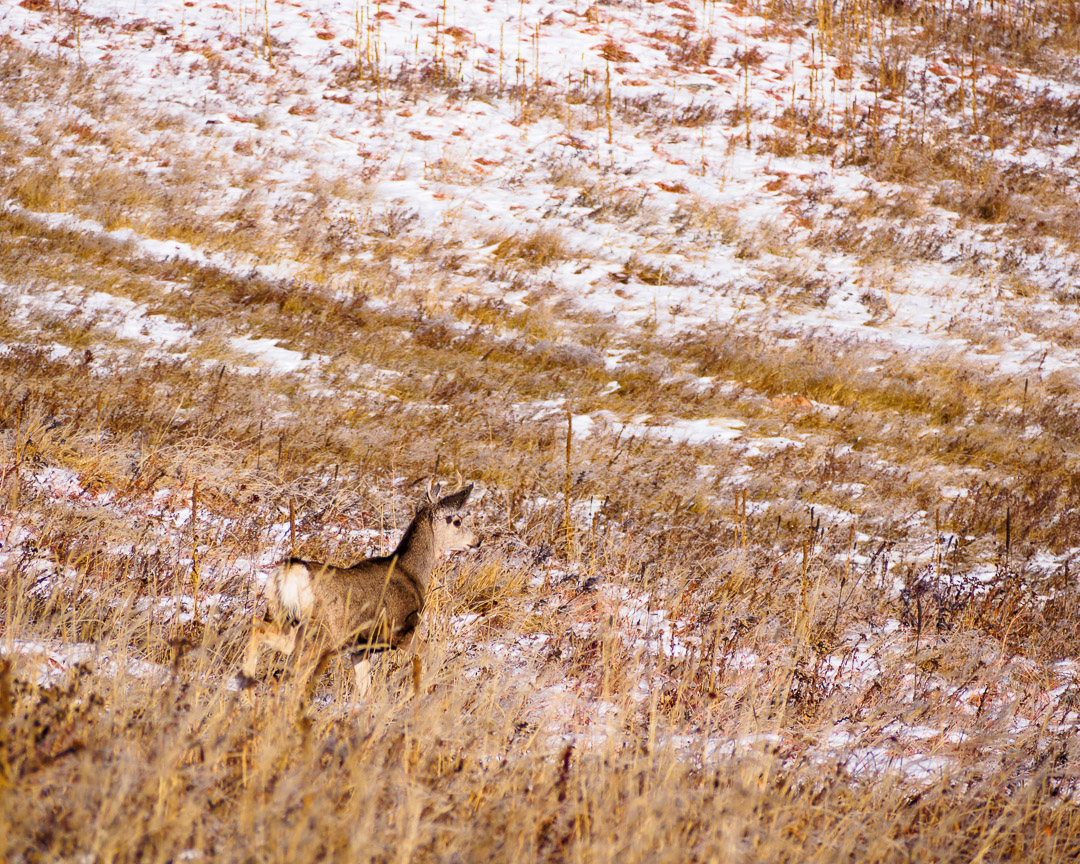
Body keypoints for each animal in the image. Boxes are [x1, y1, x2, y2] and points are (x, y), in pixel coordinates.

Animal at [243, 481, 483, 699]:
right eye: (457, 521)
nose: (477, 540)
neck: (411, 573)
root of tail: (290, 572)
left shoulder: (360, 648)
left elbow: (365, 689)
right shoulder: (401, 630)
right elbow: (431, 654)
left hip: (283, 621)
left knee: (257, 632)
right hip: (319, 634)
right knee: (290, 675)